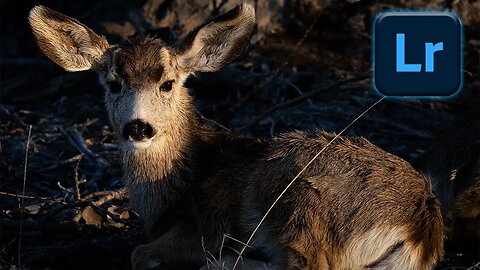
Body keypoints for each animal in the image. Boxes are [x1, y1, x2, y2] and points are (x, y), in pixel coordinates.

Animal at [28, 3, 444, 268]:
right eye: (114, 84)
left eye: (167, 83)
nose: (139, 127)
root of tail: (420, 227)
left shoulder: (205, 226)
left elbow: (140, 255)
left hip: (295, 200)